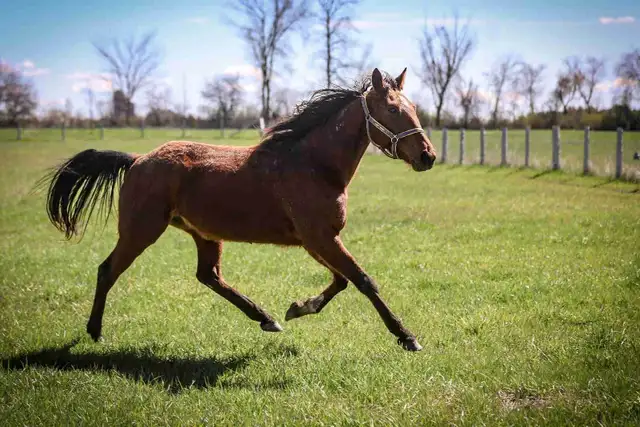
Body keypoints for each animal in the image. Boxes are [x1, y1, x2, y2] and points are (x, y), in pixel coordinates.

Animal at [41, 67, 437, 352]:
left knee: (208, 276)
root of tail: (137, 160)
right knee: (108, 270)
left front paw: (297, 308)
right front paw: (407, 337)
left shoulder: (317, 240)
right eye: (392, 109)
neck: (314, 164)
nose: (427, 156)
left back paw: (266, 318)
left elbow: (342, 280)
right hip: (141, 230)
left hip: (203, 234)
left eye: (415, 108)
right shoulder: (320, 238)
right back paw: (95, 332)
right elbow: (363, 280)